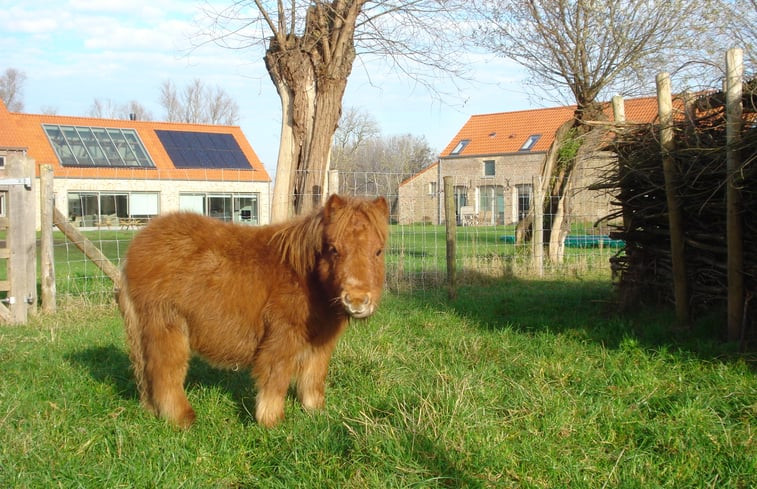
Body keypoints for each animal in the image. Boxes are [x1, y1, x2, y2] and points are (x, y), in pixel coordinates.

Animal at [119, 194, 390, 428]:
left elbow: (313, 379)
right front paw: (272, 422)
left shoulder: (319, 344)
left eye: (378, 251)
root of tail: (138, 244)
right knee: (165, 372)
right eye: (334, 249)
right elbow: (275, 379)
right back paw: (183, 419)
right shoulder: (281, 339)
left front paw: (316, 413)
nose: (357, 301)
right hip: (165, 325)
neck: (304, 277)